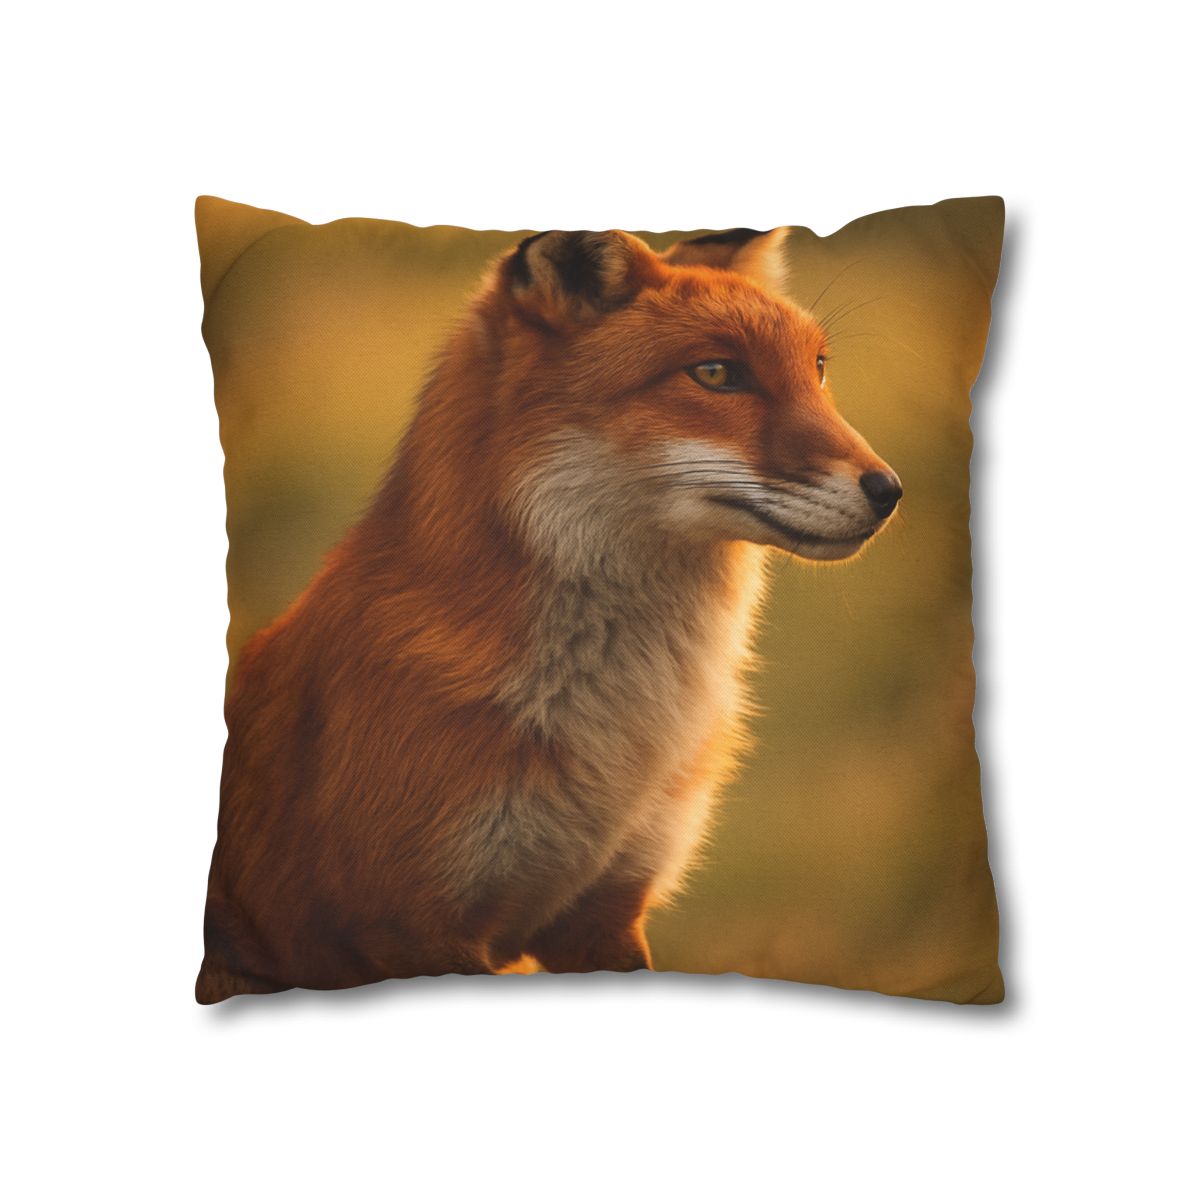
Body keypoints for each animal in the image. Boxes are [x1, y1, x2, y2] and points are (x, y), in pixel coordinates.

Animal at [196, 226, 903, 1003]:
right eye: (717, 374)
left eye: (818, 370)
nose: (890, 490)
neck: (624, 731)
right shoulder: (409, 924)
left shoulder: (605, 915)